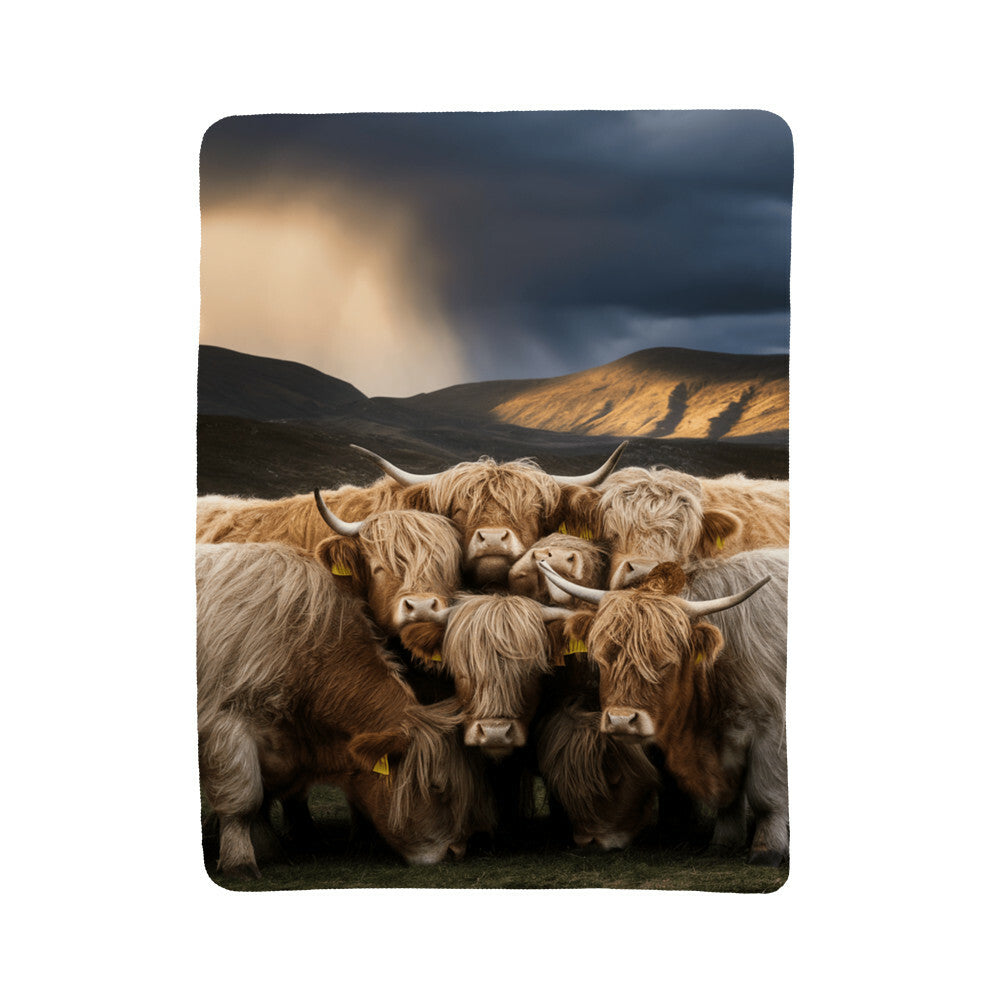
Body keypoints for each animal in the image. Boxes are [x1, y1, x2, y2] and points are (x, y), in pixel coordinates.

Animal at [197, 541, 496, 875]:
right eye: (436, 787)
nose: (457, 850)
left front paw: (266, 848)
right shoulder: (227, 724)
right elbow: (243, 801)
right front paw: (240, 861)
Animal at [538, 548, 788, 866]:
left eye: (665, 662)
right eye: (603, 658)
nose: (621, 720)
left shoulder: (772, 728)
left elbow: (765, 794)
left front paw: (768, 850)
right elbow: (730, 797)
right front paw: (724, 842)